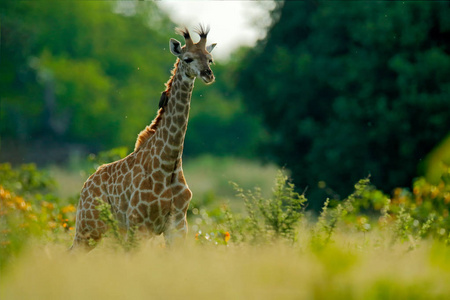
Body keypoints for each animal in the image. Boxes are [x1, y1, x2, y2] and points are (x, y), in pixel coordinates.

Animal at [71, 25, 216, 250]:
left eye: (210, 59)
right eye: (187, 58)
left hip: (111, 231)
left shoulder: (178, 226)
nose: (208, 74)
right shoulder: (140, 225)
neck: (169, 164)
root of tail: (86, 185)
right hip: (89, 227)